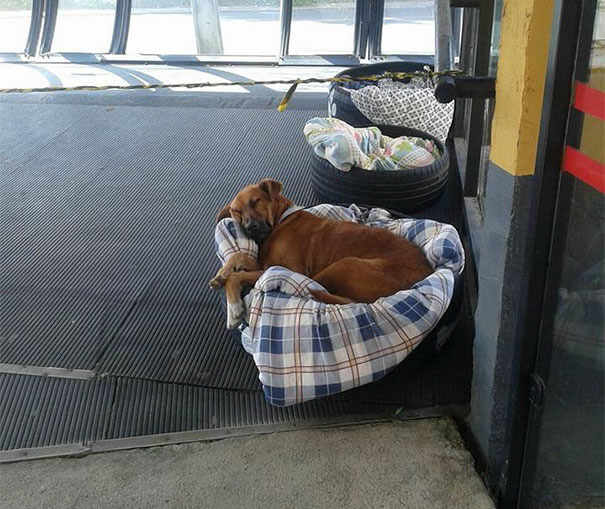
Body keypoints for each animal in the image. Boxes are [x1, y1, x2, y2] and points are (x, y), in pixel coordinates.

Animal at [210, 180, 432, 330]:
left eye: (255, 201)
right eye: (236, 212)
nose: (249, 228)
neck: (281, 220)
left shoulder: (287, 268)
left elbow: (237, 276)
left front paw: (234, 309)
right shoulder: (265, 263)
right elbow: (239, 257)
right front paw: (221, 274)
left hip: (344, 265)